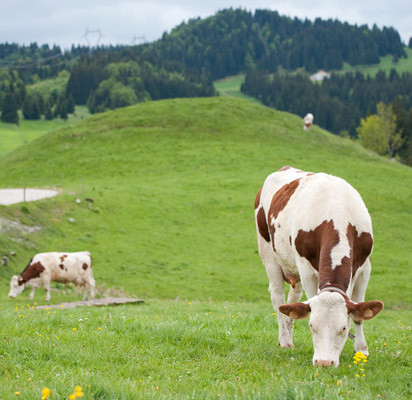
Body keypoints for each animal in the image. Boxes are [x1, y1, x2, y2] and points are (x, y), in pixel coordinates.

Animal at [254, 166, 384, 368]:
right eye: (311, 326)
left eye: (344, 328)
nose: (324, 362)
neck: (337, 214)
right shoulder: (306, 267)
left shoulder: (365, 267)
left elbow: (359, 313)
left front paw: (361, 349)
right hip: (268, 251)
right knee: (277, 296)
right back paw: (285, 340)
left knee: (292, 298)